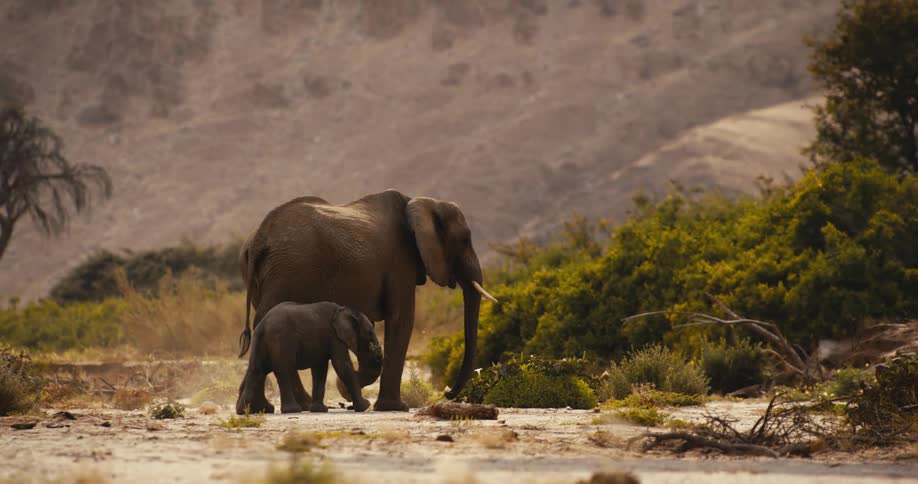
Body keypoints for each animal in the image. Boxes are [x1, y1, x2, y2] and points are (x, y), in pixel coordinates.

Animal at [235, 301, 383, 414]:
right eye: (370, 333)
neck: (344, 310)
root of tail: (263, 325)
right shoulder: (334, 337)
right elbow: (342, 365)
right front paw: (365, 406)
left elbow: (320, 369)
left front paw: (319, 410)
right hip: (281, 340)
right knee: (284, 371)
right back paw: (292, 410)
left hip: (260, 342)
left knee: (257, 370)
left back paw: (248, 411)